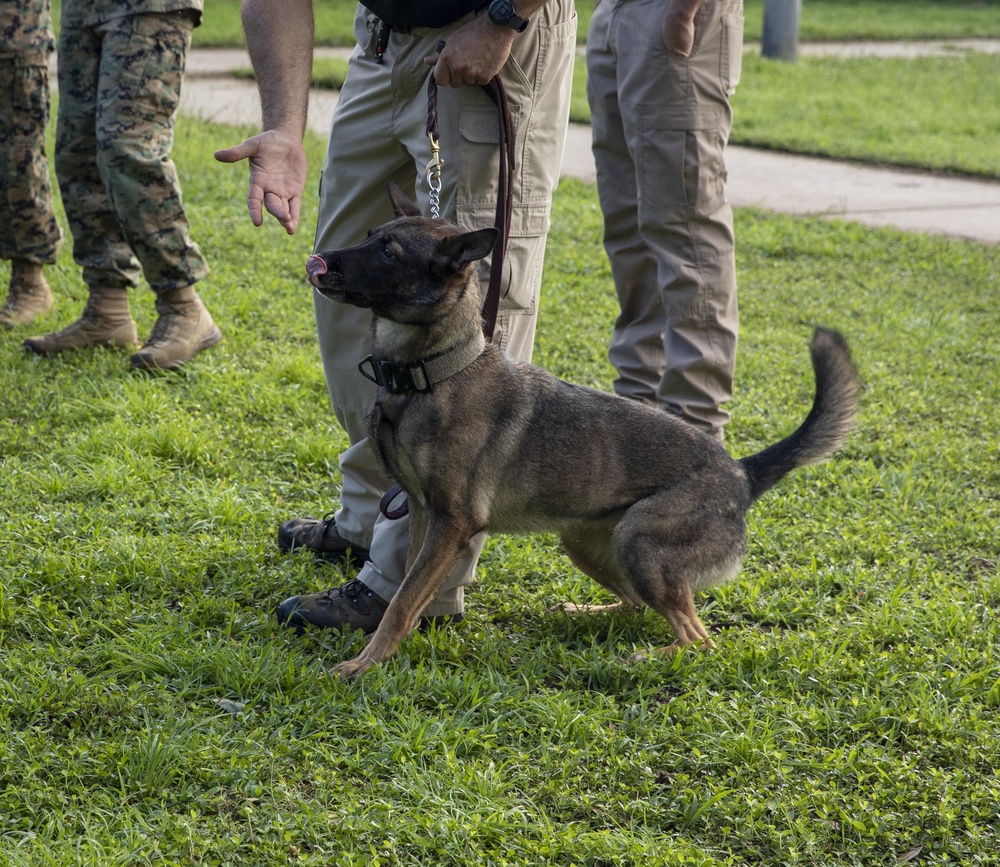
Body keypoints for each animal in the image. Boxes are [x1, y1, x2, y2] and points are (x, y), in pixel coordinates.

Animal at [306, 185, 860, 684]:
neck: (434, 373)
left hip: (641, 542)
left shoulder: (451, 524)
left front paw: (365, 664)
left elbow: (402, 601)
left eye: (388, 252)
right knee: (637, 605)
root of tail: (741, 472)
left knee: (700, 639)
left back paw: (648, 656)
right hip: (583, 540)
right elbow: (405, 590)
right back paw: (585, 613)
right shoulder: (424, 514)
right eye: (370, 236)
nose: (319, 261)